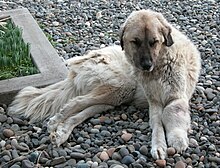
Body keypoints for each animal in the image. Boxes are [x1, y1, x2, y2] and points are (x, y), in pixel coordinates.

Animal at [8, 46, 148, 147]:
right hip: (124, 87)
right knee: (77, 101)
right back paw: (55, 122)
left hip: (115, 96)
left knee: (80, 112)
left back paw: (62, 133)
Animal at [120, 9, 201, 160]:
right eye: (135, 42)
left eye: (154, 42)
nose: (147, 65)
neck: (158, 68)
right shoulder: (154, 102)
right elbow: (156, 122)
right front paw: (158, 146)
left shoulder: (176, 97)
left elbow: (171, 112)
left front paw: (177, 138)